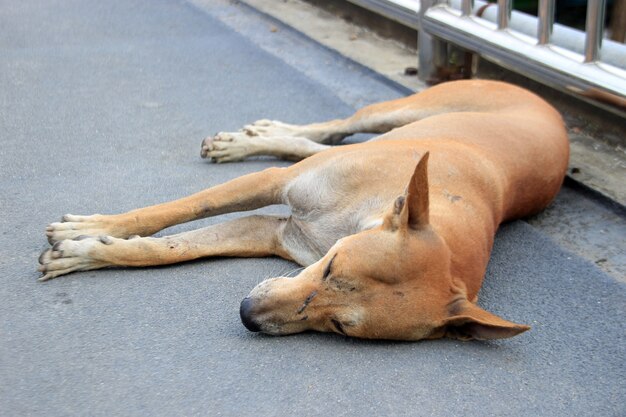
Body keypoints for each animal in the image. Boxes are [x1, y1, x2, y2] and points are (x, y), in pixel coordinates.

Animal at [36, 79, 568, 340]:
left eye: (338, 326)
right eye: (330, 266)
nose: (249, 315)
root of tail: (556, 116)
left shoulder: (269, 233)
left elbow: (170, 249)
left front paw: (89, 251)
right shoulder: (274, 184)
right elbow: (177, 209)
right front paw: (94, 228)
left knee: (318, 141)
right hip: (402, 110)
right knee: (338, 126)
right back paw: (254, 138)